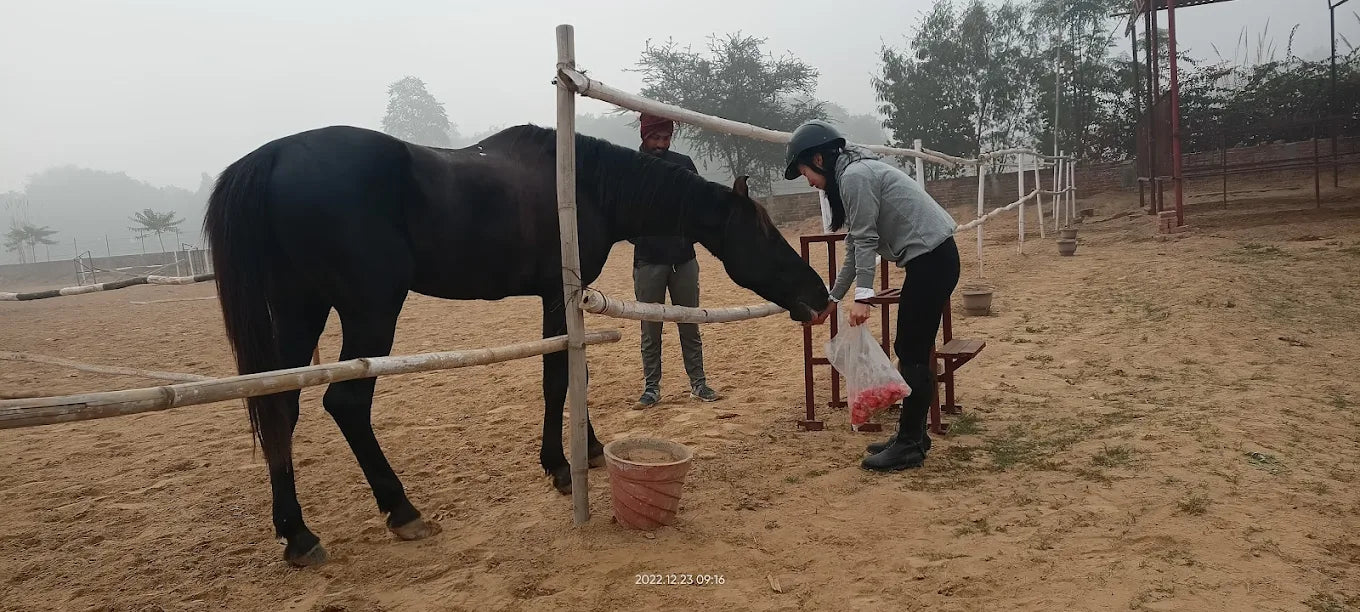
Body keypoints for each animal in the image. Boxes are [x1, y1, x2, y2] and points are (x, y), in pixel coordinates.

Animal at [204, 124, 830, 567]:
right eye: (764, 237)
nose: (818, 297)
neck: (582, 185)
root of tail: (273, 157)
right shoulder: (559, 293)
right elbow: (560, 375)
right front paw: (563, 465)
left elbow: (570, 371)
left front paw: (586, 451)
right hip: (368, 309)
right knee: (347, 405)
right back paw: (402, 511)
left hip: (299, 310)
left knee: (280, 407)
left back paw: (297, 534)